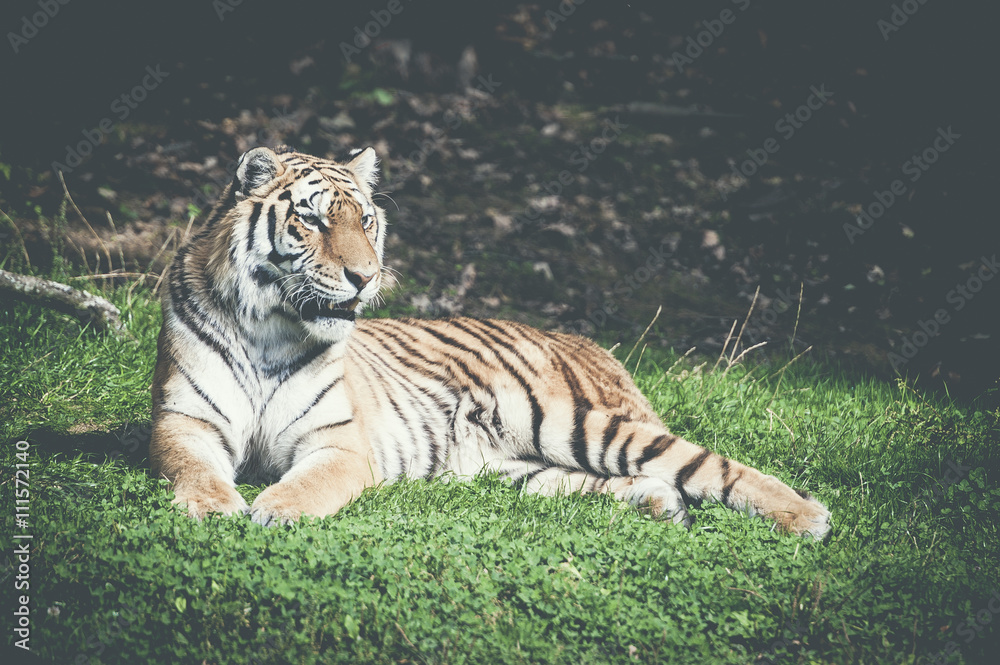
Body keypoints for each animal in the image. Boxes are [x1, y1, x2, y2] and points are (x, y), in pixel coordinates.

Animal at [149, 145, 831, 539]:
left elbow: (311, 482)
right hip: (516, 467)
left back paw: (808, 518)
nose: (366, 275)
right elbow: (193, 467)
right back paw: (659, 505)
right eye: (312, 220)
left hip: (572, 420)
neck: (269, 328)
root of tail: (590, 345)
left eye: (365, 220)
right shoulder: (184, 422)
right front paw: (213, 507)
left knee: (708, 463)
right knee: (621, 481)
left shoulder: (338, 443)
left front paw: (277, 508)